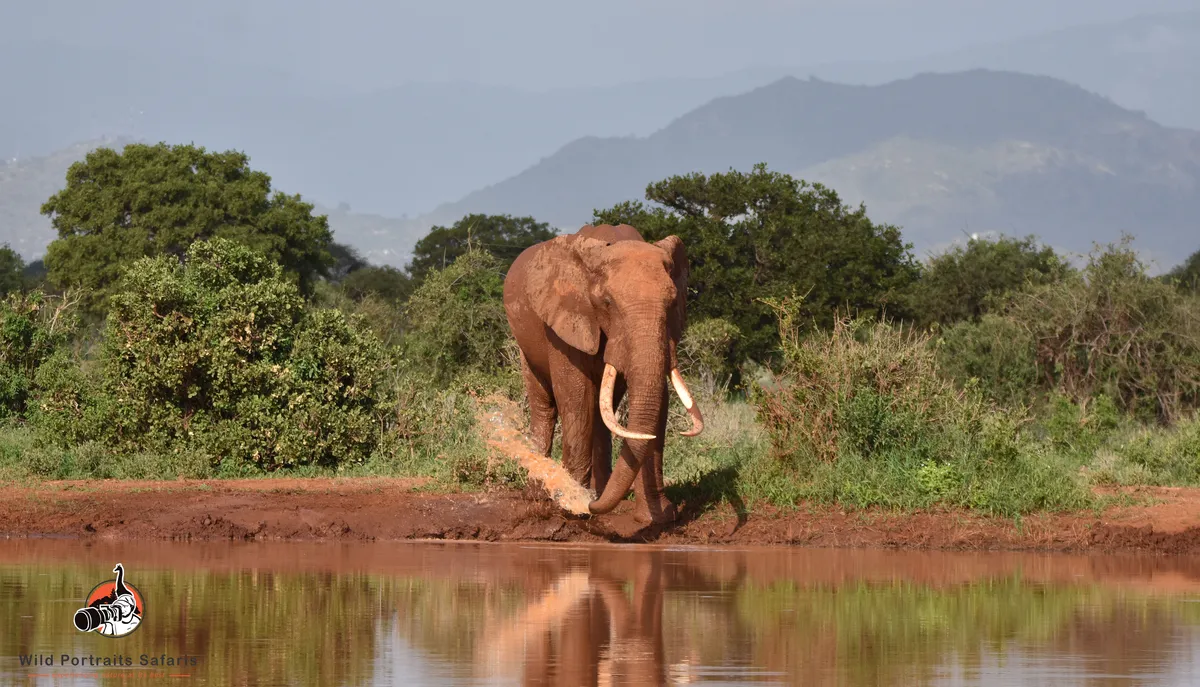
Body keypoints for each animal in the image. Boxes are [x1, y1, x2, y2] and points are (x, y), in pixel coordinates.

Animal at [503, 223, 705, 524]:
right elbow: (577, 397)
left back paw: (597, 492)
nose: (590, 507)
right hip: (525, 343)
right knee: (544, 403)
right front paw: (572, 505)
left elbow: (658, 400)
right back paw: (539, 493)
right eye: (607, 303)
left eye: (671, 303)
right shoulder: (567, 320)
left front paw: (659, 518)